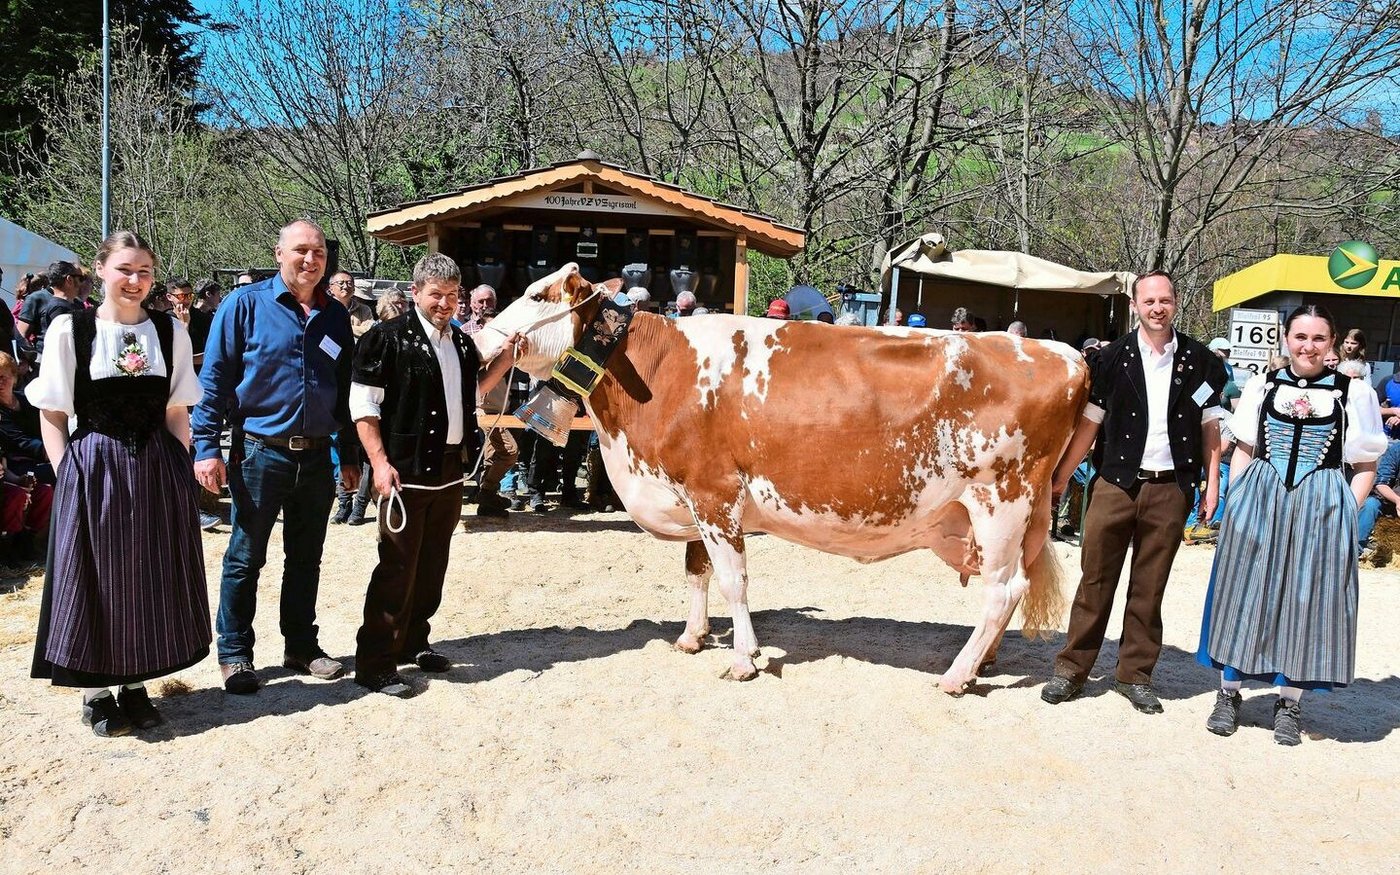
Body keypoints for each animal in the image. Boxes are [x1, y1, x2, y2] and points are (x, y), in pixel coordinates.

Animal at [475, 263, 1091, 693]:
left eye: (537, 296)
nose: (479, 343)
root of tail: (1063, 353)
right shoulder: (694, 498)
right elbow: (696, 570)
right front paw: (692, 637)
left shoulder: (715, 493)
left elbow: (733, 580)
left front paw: (743, 660)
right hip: (1010, 515)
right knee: (1007, 588)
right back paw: (983, 661)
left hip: (1000, 501)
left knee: (1003, 589)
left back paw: (957, 675)